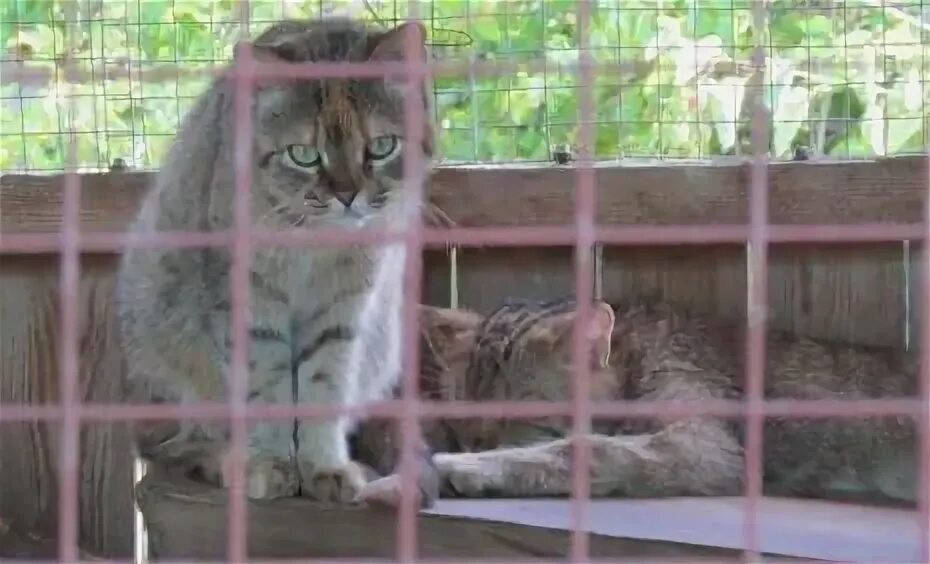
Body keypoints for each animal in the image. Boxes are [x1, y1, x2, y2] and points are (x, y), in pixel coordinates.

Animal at [115, 16, 438, 506]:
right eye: (304, 155)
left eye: (381, 147)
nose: (347, 195)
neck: (315, 244)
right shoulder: (248, 299)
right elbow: (265, 385)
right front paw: (268, 462)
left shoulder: (347, 301)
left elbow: (325, 381)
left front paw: (322, 464)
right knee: (177, 444)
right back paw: (225, 460)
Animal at [352, 300, 916, 506]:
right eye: (461, 413)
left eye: (518, 414)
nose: (473, 442)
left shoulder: (705, 445)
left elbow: (588, 448)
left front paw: (473, 467)